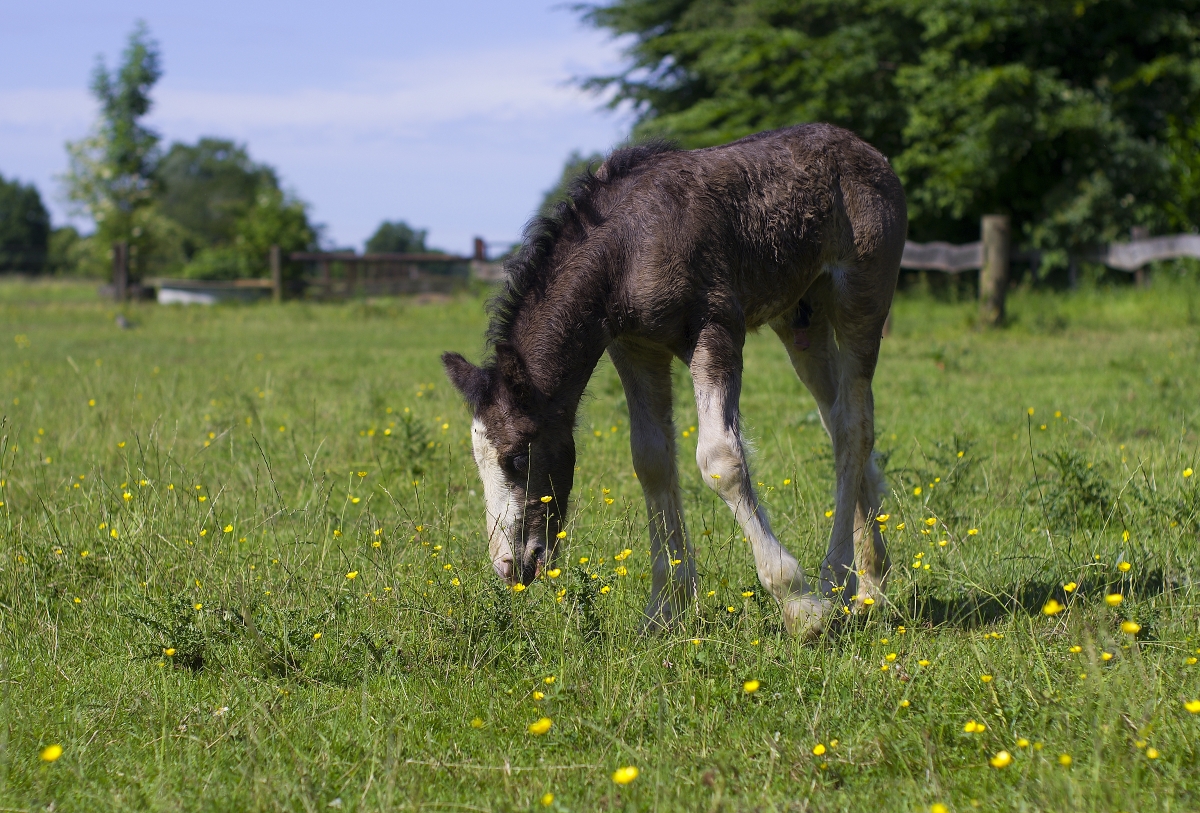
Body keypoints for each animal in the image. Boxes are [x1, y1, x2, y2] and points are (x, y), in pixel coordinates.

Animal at [446, 124, 902, 637]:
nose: (508, 567)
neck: (627, 249)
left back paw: (834, 583)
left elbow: (721, 459)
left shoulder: (716, 327)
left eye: (519, 456)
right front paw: (665, 607)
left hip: (860, 302)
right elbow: (652, 461)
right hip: (802, 320)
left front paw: (798, 603)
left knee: (854, 426)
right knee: (840, 424)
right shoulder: (636, 348)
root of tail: (867, 150)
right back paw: (870, 580)